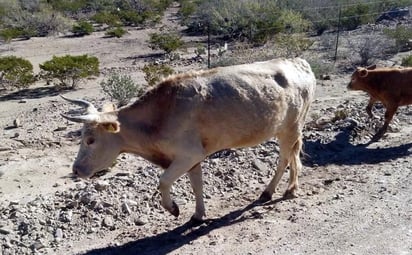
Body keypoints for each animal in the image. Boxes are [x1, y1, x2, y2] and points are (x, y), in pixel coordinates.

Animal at [61, 58, 316, 221]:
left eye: (90, 140)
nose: (75, 170)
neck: (158, 118)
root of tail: (299, 62)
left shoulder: (188, 154)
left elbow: (163, 181)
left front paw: (173, 208)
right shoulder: (193, 158)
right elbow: (196, 185)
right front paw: (198, 215)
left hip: (291, 128)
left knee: (285, 158)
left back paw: (279, 191)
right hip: (286, 130)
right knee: (291, 156)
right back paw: (281, 190)